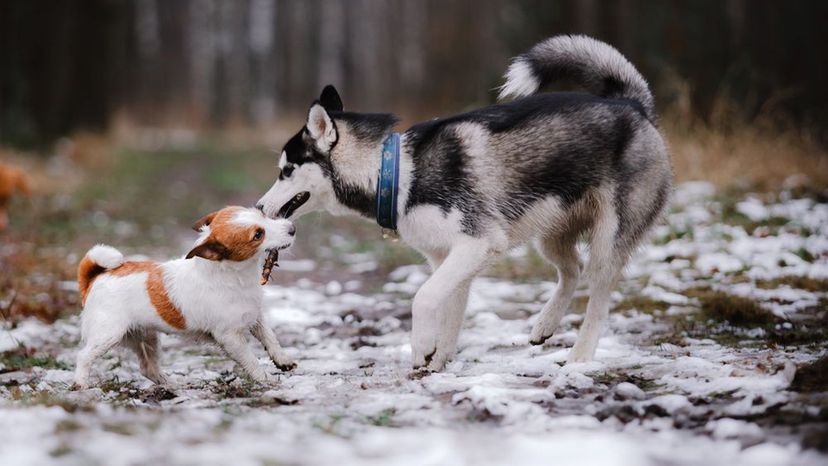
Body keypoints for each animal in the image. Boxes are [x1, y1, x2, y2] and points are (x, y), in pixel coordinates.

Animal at [72, 206, 298, 388]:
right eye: (258, 235)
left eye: (262, 214)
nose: (292, 228)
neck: (232, 276)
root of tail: (95, 277)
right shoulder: (230, 338)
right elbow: (251, 361)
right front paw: (265, 379)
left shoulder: (256, 317)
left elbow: (271, 339)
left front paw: (282, 360)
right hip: (108, 335)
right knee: (83, 357)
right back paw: (81, 385)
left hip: (146, 337)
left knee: (148, 368)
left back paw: (173, 384)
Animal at [258, 36, 672, 372]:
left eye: (287, 170)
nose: (260, 207)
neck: (396, 172)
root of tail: (632, 105)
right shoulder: (449, 257)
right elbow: (451, 315)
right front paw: (438, 360)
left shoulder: (479, 242)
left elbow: (425, 297)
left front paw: (421, 349)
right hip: (550, 233)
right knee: (572, 269)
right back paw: (545, 324)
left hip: (609, 239)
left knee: (597, 297)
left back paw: (580, 358)